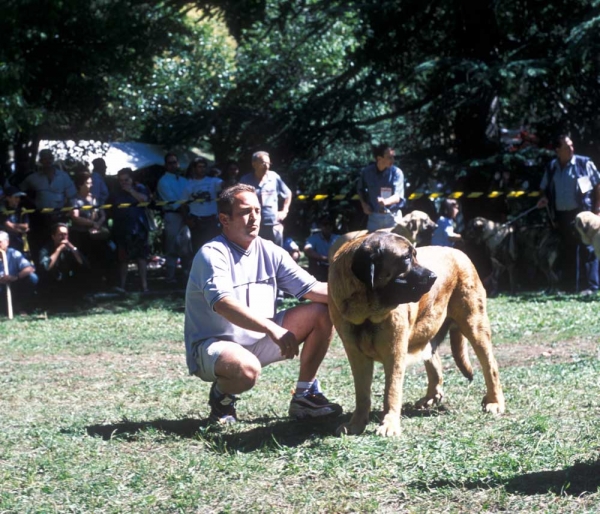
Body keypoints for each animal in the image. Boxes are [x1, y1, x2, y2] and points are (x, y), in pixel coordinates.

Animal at [328, 232, 506, 436]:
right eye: (405, 258)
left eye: (414, 255)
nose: (434, 277)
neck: (367, 312)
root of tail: (459, 252)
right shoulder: (356, 355)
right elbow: (362, 393)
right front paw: (355, 424)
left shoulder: (394, 352)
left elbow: (391, 390)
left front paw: (389, 425)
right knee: (434, 360)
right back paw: (431, 397)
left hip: (475, 325)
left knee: (490, 365)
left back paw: (494, 402)